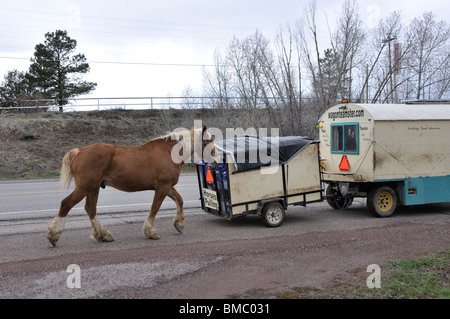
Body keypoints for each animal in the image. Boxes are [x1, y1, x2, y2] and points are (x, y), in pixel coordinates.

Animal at [46, 125, 215, 248]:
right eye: (209, 143)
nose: (215, 158)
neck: (168, 152)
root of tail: (79, 151)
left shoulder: (167, 187)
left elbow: (179, 200)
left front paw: (179, 223)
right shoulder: (162, 187)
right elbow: (155, 208)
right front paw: (151, 231)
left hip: (93, 188)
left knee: (90, 209)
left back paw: (103, 235)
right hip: (85, 187)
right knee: (66, 204)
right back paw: (54, 235)